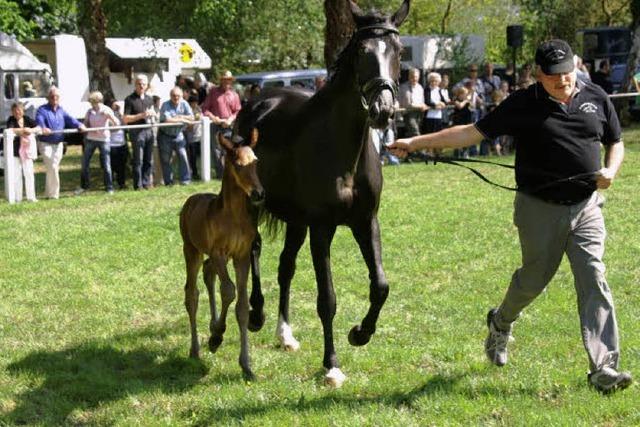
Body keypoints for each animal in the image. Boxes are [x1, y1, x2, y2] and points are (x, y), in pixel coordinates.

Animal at [178, 130, 262, 382]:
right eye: (238, 164)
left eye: (256, 161)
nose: (258, 193)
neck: (233, 216)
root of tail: (190, 200)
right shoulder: (218, 252)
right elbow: (229, 291)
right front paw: (216, 335)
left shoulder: (242, 255)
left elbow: (242, 305)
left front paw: (246, 366)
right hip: (191, 250)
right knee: (192, 292)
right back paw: (195, 349)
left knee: (208, 273)